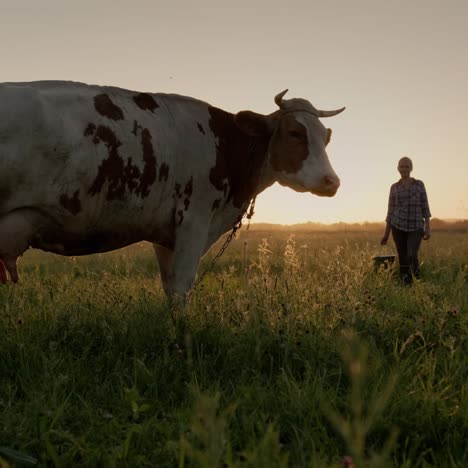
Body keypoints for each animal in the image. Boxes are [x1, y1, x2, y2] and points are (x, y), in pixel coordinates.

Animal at [0, 81, 344, 296]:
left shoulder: (165, 233)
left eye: (326, 136)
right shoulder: (194, 221)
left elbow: (169, 288)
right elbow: (181, 289)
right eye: (294, 132)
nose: (332, 181)